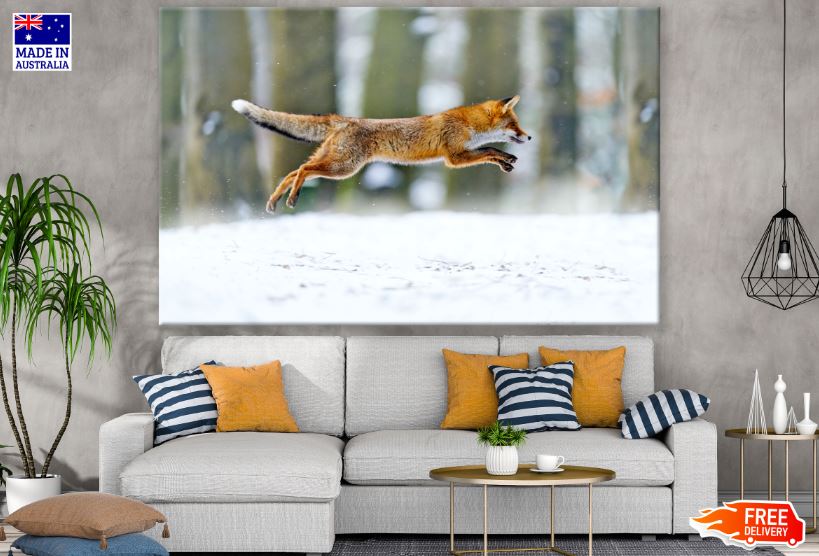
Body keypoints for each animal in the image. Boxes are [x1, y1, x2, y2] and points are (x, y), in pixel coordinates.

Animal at [231, 96, 532, 213]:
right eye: (515, 125)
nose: (529, 137)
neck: (469, 125)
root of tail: (345, 119)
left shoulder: (462, 153)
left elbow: (490, 151)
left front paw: (507, 163)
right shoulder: (454, 157)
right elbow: (490, 149)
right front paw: (506, 159)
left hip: (334, 163)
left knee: (293, 172)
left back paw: (275, 201)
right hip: (343, 168)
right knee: (303, 170)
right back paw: (291, 198)